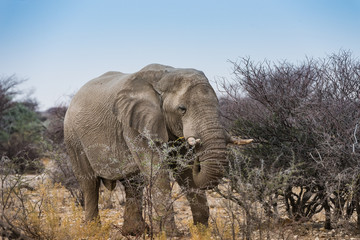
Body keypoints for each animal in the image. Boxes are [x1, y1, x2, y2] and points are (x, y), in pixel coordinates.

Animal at [63, 63, 252, 236]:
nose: (198, 152)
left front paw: (202, 231)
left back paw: (134, 232)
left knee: (134, 183)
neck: (164, 75)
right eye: (182, 109)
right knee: (89, 183)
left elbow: (184, 171)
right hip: (72, 136)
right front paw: (172, 234)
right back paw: (93, 230)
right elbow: (157, 169)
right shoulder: (133, 124)